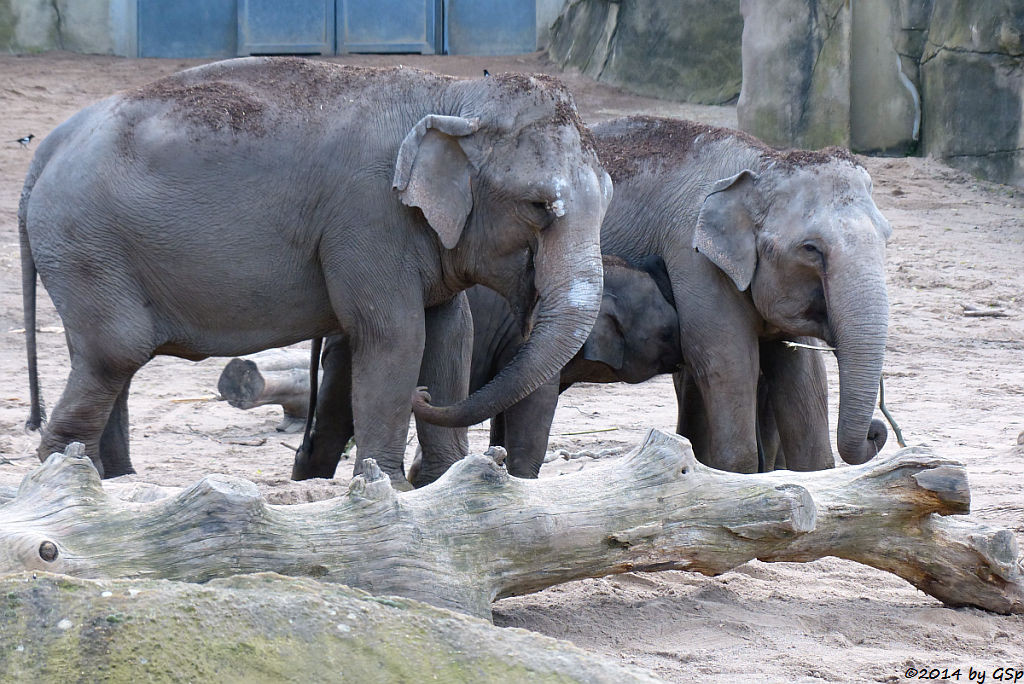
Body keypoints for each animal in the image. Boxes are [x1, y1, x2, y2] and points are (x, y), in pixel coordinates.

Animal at [19, 60, 610, 485]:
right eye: (538, 206)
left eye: (607, 199)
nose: (423, 397)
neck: (454, 95)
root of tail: (48, 146)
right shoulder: (368, 216)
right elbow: (396, 334)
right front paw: (390, 485)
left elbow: (450, 336)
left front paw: (445, 480)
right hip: (85, 243)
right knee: (116, 352)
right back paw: (69, 474)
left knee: (107, 360)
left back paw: (115, 481)